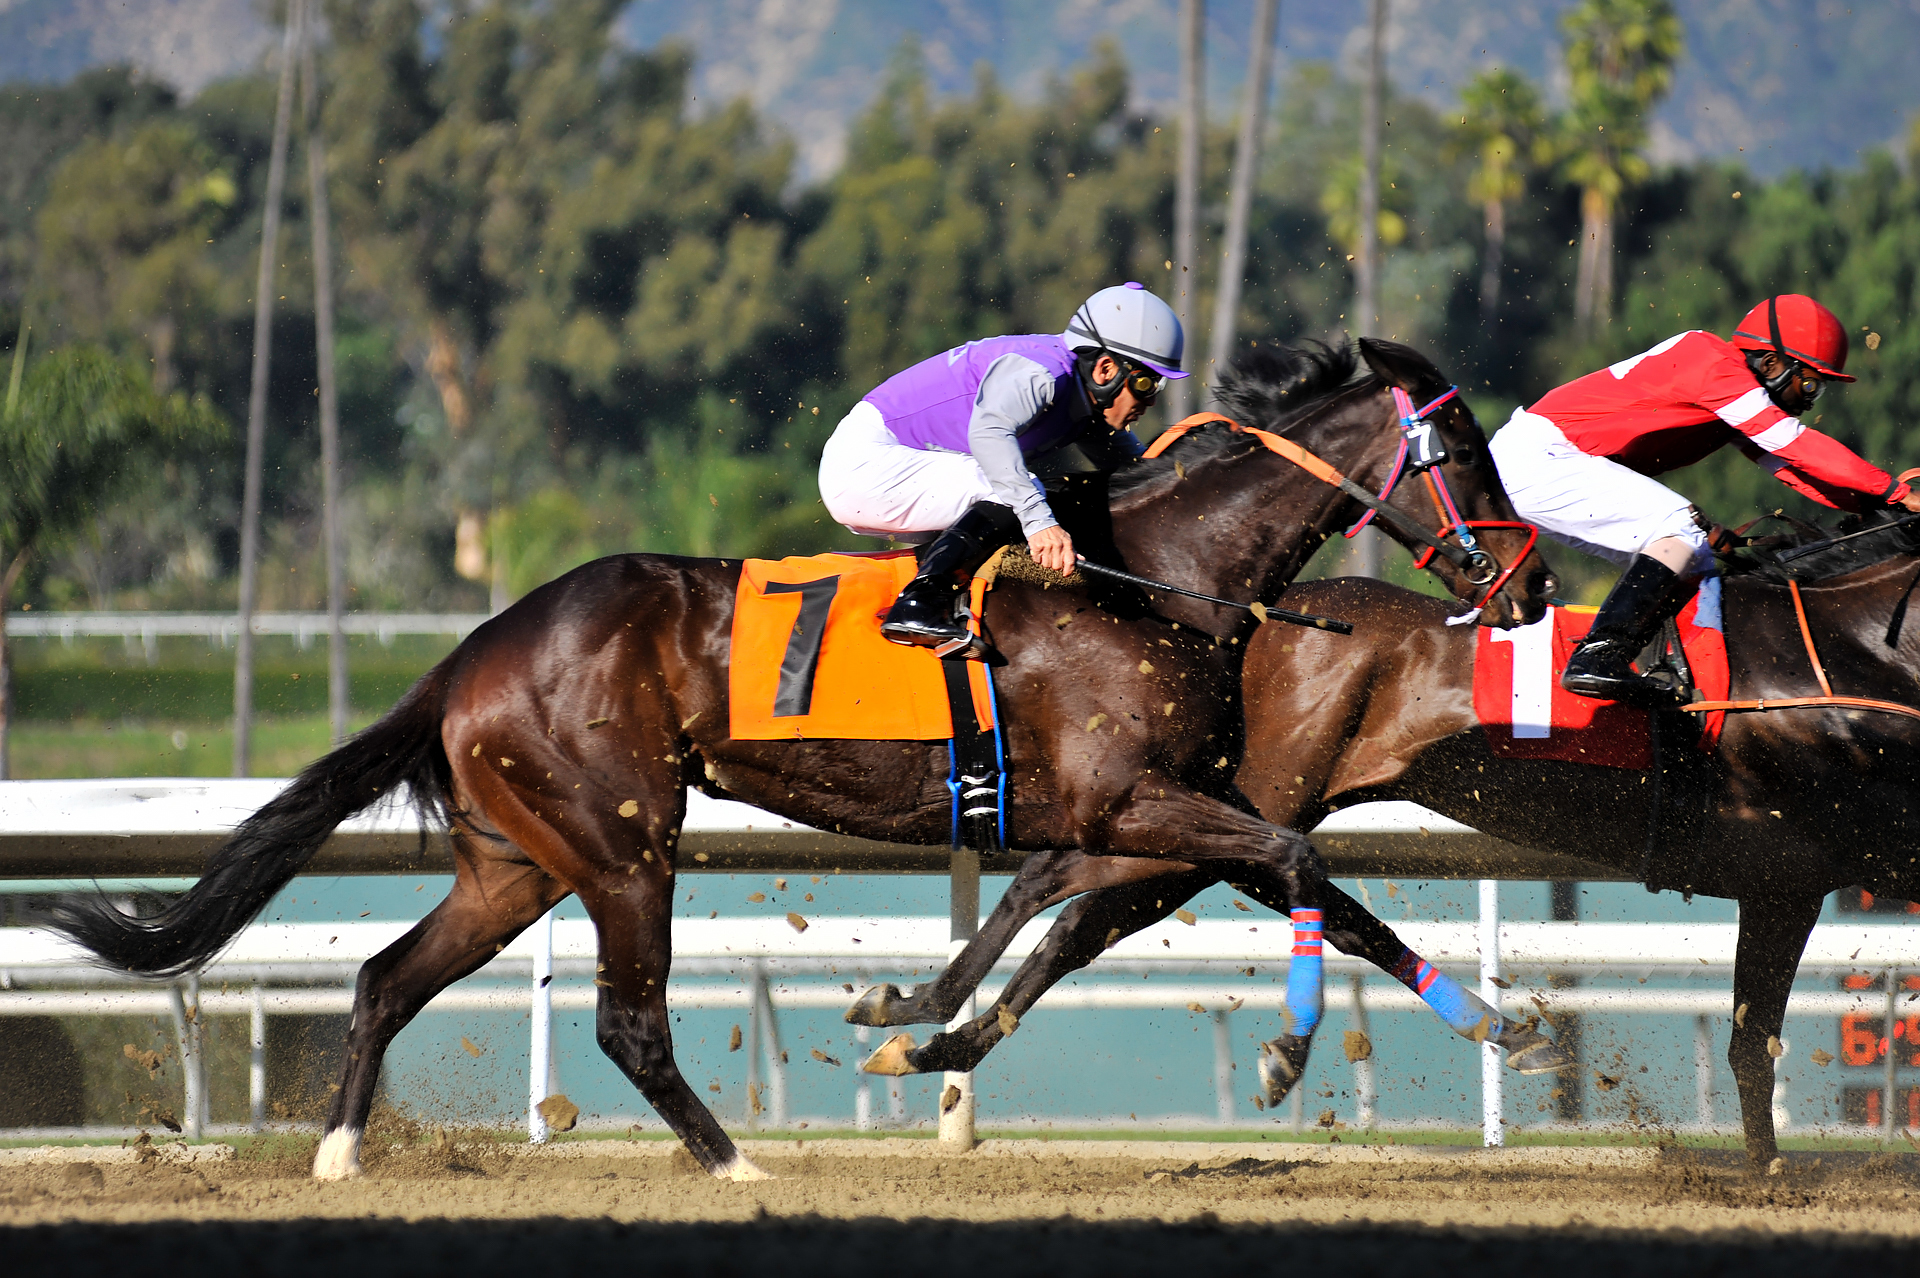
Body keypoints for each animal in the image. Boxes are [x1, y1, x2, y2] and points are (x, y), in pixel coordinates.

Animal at [49, 338, 1551, 1180]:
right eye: (1467, 450)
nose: (1531, 587)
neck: (1154, 572)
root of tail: (474, 648)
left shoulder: (1158, 804)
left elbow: (1290, 890)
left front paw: (1496, 1020)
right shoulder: (1135, 797)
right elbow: (1292, 862)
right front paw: (1314, 1051)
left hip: (516, 862)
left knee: (380, 978)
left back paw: (340, 1155)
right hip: (622, 842)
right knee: (626, 1021)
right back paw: (736, 1164)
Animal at [872, 514, 1920, 1166]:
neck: (1853, 658)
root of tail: (1232, 624)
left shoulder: (1801, 880)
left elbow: (1754, 1039)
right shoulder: (1799, 874)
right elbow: (1752, 1043)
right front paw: (1767, 1177)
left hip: (1208, 810)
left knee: (1081, 902)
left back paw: (935, 1030)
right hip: (1227, 804)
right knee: (1083, 889)